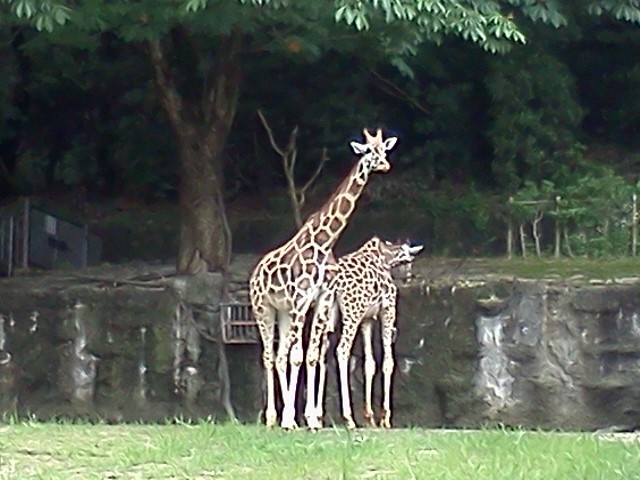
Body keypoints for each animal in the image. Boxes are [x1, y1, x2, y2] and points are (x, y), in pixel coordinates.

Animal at [249, 128, 396, 432]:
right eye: (368, 151)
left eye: (384, 150)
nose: (385, 165)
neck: (324, 243)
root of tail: (254, 273)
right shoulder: (300, 300)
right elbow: (295, 356)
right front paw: (292, 419)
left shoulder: (321, 300)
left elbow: (311, 355)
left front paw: (310, 419)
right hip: (263, 308)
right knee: (269, 355)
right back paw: (273, 418)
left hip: (282, 311)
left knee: (280, 355)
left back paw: (283, 417)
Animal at [308, 236, 422, 428]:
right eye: (408, 261)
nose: (407, 279)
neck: (385, 258)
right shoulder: (387, 310)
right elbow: (388, 362)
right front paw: (385, 418)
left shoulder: (367, 319)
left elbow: (369, 364)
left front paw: (370, 417)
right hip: (351, 315)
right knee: (342, 351)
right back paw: (348, 418)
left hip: (326, 316)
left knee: (318, 353)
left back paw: (316, 417)